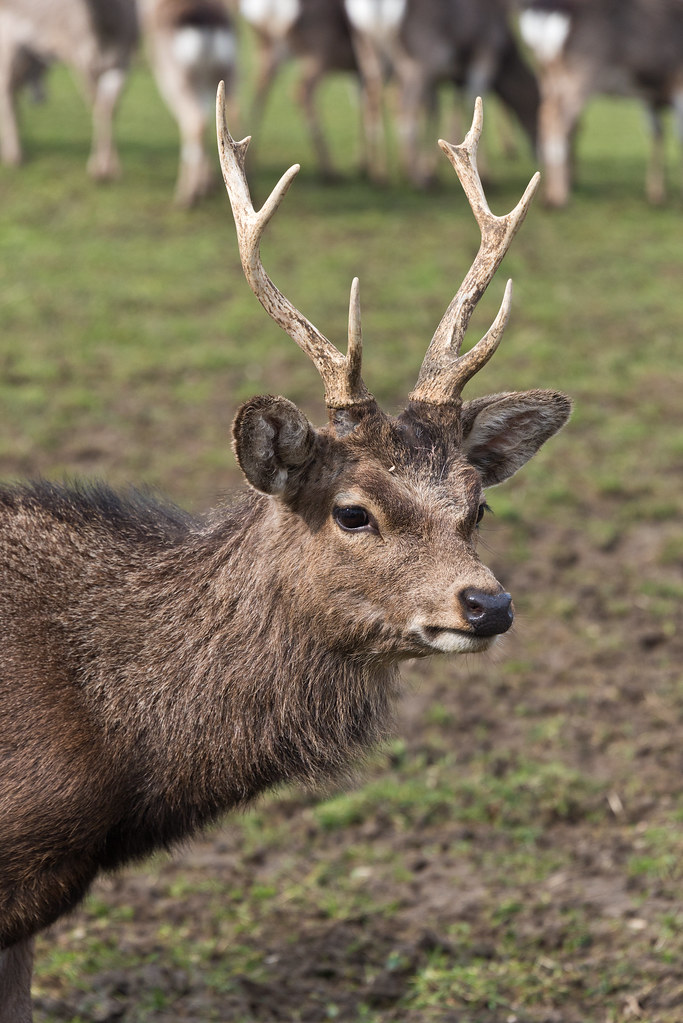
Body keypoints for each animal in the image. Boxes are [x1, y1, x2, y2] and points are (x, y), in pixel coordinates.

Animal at [0, 0, 138, 178]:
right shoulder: (81, 59)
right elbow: (97, 105)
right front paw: (98, 168)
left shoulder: (125, 60)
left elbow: (109, 108)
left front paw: (111, 169)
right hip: (8, 48)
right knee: (7, 94)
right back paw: (15, 156)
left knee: (13, 96)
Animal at [139, 0, 239, 206]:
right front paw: (209, 184)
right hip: (229, 71)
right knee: (233, 114)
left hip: (177, 77)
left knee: (194, 121)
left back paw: (187, 195)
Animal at [344, 0, 540, 186]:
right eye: (539, 107)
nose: (538, 153)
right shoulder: (485, 51)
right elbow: (471, 99)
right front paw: (486, 173)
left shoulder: (452, 78)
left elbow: (441, 109)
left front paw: (434, 164)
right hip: (420, 60)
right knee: (406, 105)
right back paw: (415, 175)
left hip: (370, 53)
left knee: (372, 96)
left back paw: (380, 172)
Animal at [517, 0, 683, 206]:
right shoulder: (677, 83)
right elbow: (677, 137)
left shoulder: (650, 95)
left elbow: (657, 133)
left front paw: (656, 194)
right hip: (582, 72)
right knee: (558, 120)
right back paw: (559, 197)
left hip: (546, 73)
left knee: (544, 112)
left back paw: (547, 192)